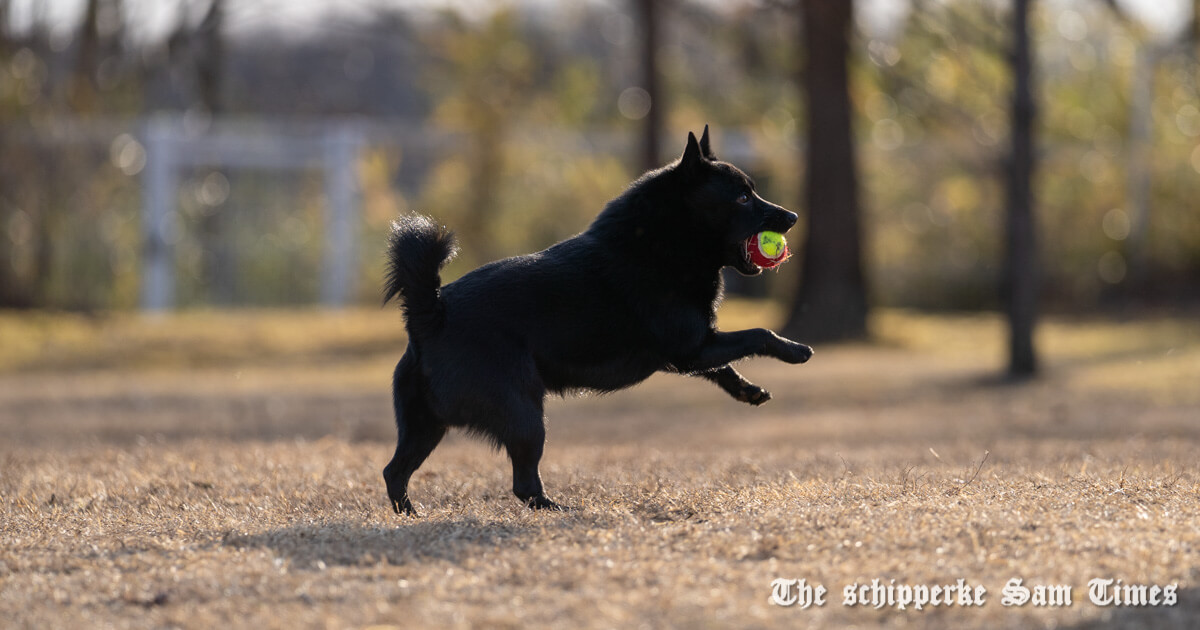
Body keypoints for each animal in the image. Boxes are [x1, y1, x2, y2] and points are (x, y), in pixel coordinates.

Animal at [381, 125, 816, 513]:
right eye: (742, 197)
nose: (794, 216)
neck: (660, 244)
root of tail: (432, 314)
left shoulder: (690, 352)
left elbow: (725, 366)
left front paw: (749, 390)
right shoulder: (693, 348)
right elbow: (759, 333)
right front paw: (795, 351)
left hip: (425, 426)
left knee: (393, 472)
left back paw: (411, 515)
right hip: (524, 415)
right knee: (524, 484)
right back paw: (559, 509)